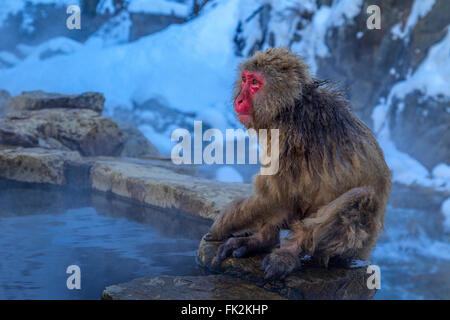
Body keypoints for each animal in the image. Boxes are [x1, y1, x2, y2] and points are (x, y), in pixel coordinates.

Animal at [206, 47, 392, 280]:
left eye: (255, 83)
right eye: (245, 79)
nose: (239, 99)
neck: (290, 107)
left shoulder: (292, 138)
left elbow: (276, 197)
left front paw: (221, 226)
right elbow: (279, 197)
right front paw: (258, 239)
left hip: (359, 243)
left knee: (360, 199)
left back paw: (288, 253)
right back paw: (264, 241)